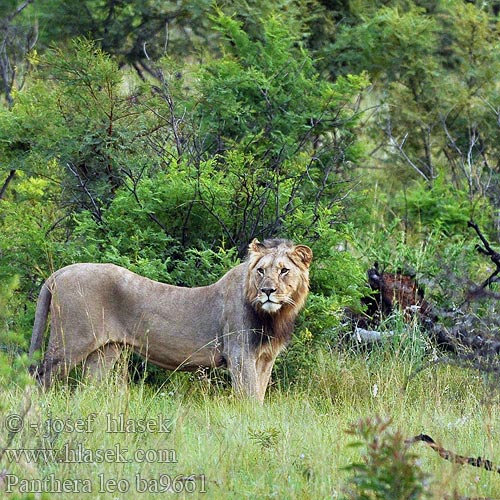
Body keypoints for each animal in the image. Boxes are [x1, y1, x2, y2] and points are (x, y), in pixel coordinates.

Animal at [28, 238, 312, 402]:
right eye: (261, 270)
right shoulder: (239, 353)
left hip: (104, 351)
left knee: (87, 388)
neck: (274, 316)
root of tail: (61, 271)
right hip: (71, 342)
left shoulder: (265, 357)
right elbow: (250, 398)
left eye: (284, 270)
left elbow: (260, 395)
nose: (267, 291)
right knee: (40, 379)